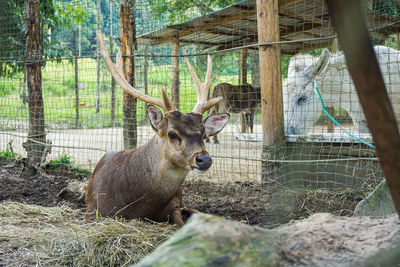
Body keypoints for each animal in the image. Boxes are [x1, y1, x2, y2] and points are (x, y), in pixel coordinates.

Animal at [84, 31, 230, 228]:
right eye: (172, 133)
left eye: (204, 134)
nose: (204, 159)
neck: (139, 206)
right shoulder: (93, 211)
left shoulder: (173, 204)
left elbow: (180, 219)